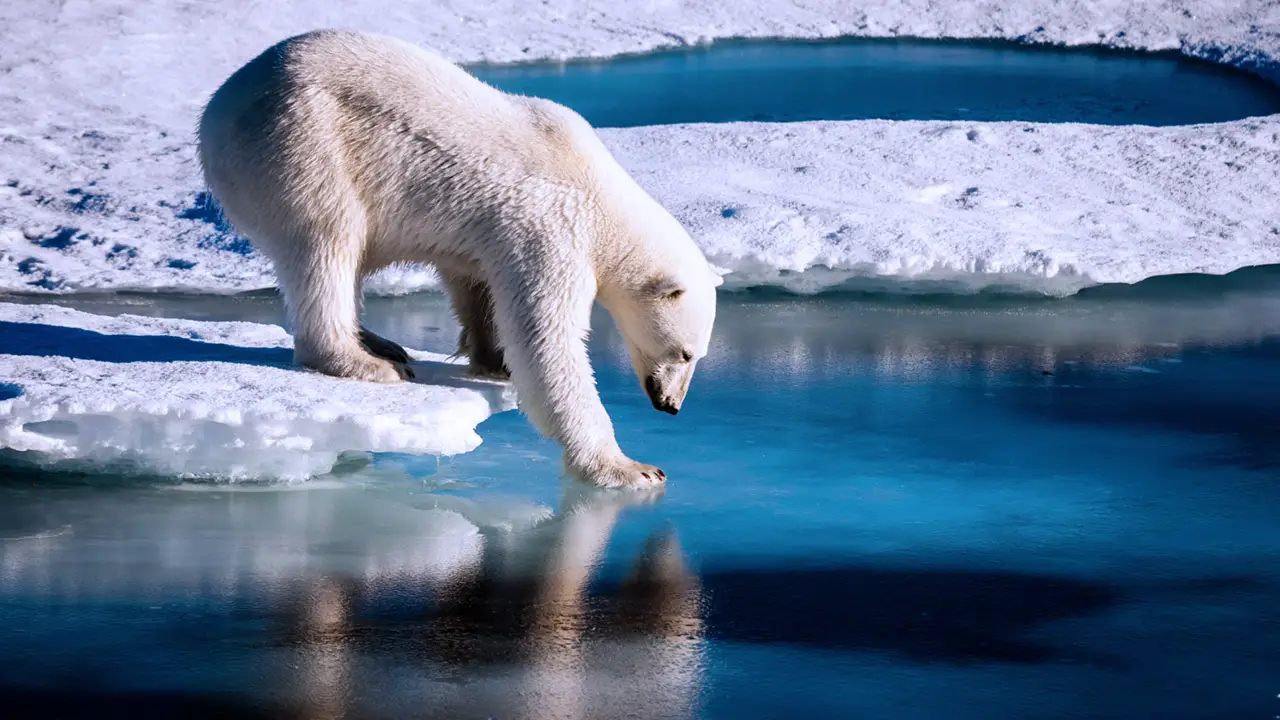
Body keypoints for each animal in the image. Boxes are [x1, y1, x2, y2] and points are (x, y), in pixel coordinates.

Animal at [197, 29, 721, 486]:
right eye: (684, 352)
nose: (671, 404)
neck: (600, 193)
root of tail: (216, 109)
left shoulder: (491, 234)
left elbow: (476, 283)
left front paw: (493, 359)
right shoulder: (552, 229)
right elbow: (547, 342)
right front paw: (630, 468)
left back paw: (381, 343)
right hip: (302, 144)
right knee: (327, 243)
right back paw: (365, 362)